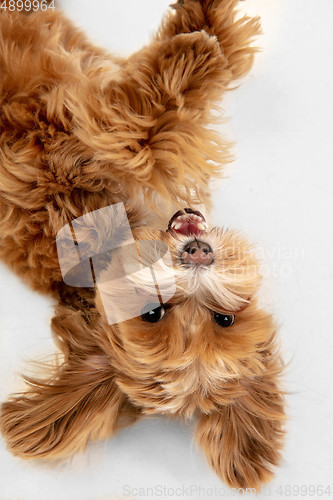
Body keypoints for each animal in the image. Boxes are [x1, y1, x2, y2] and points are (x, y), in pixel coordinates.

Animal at [1, 0, 284, 490]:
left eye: (223, 319)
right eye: (153, 314)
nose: (198, 253)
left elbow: (153, 123)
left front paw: (203, 38)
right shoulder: (90, 125)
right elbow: (153, 121)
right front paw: (201, 39)